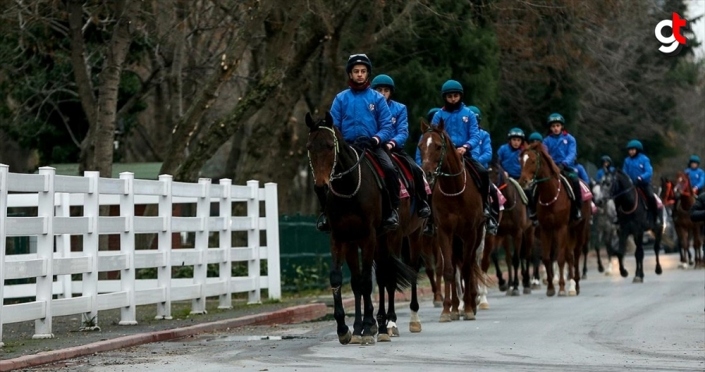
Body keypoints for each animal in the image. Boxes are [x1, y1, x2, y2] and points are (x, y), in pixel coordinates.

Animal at [306, 112, 416, 344]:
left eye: (329, 146)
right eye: (309, 146)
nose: (321, 187)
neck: (349, 187)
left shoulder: (369, 237)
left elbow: (367, 281)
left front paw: (368, 326)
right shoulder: (340, 238)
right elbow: (344, 280)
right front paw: (347, 328)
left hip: (390, 238)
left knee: (385, 276)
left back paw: (385, 325)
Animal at [416, 118, 486, 320]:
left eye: (438, 146)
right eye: (420, 146)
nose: (427, 174)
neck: (455, 190)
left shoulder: (470, 233)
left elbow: (467, 269)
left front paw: (469, 308)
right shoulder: (444, 232)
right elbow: (449, 270)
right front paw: (447, 310)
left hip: (476, 235)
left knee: (471, 264)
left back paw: (472, 302)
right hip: (454, 239)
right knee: (455, 265)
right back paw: (456, 307)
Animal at [486, 160, 536, 296]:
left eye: (497, 172)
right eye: (487, 171)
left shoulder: (518, 233)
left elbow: (516, 259)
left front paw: (516, 287)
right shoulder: (499, 233)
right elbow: (495, 256)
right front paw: (503, 283)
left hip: (528, 231)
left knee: (527, 255)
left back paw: (526, 283)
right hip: (507, 237)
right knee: (509, 258)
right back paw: (511, 284)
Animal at [516, 142, 592, 296]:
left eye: (533, 161)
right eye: (521, 161)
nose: (523, 181)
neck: (550, 195)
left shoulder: (560, 227)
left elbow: (560, 258)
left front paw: (561, 288)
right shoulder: (546, 229)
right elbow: (546, 258)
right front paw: (550, 288)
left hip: (580, 227)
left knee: (576, 253)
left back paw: (576, 284)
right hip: (569, 230)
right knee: (569, 255)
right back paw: (572, 285)